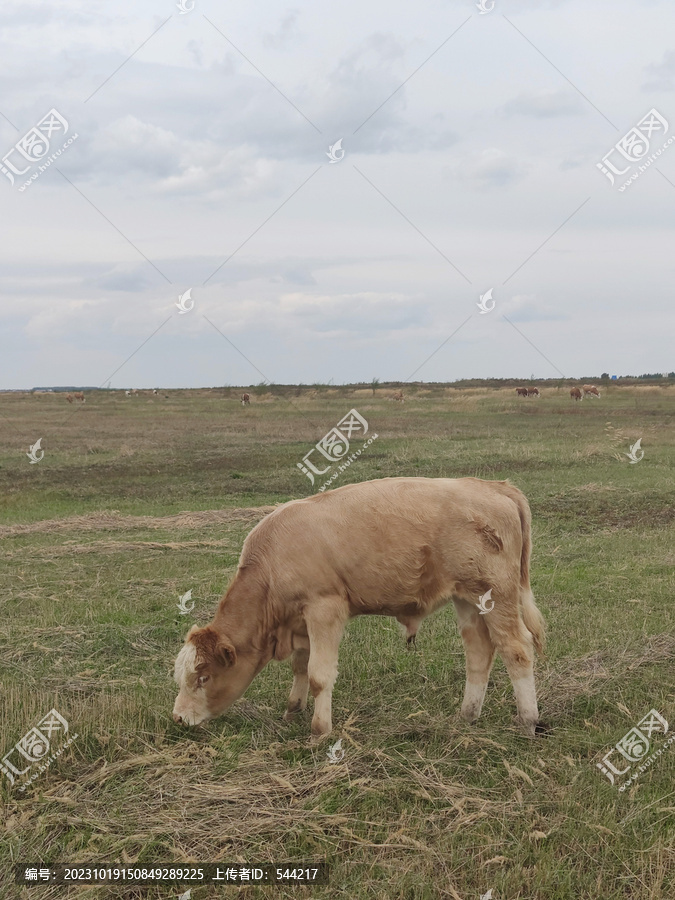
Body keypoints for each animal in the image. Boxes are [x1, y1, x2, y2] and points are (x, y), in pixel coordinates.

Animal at [172, 474, 548, 740]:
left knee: (516, 650)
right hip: (468, 599)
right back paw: (467, 715)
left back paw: (528, 721)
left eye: (203, 677)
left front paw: (320, 730)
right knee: (479, 652)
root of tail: (495, 487)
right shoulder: (301, 620)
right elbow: (300, 666)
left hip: (497, 595)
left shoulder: (325, 610)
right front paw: (293, 709)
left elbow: (319, 674)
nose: (178, 717)